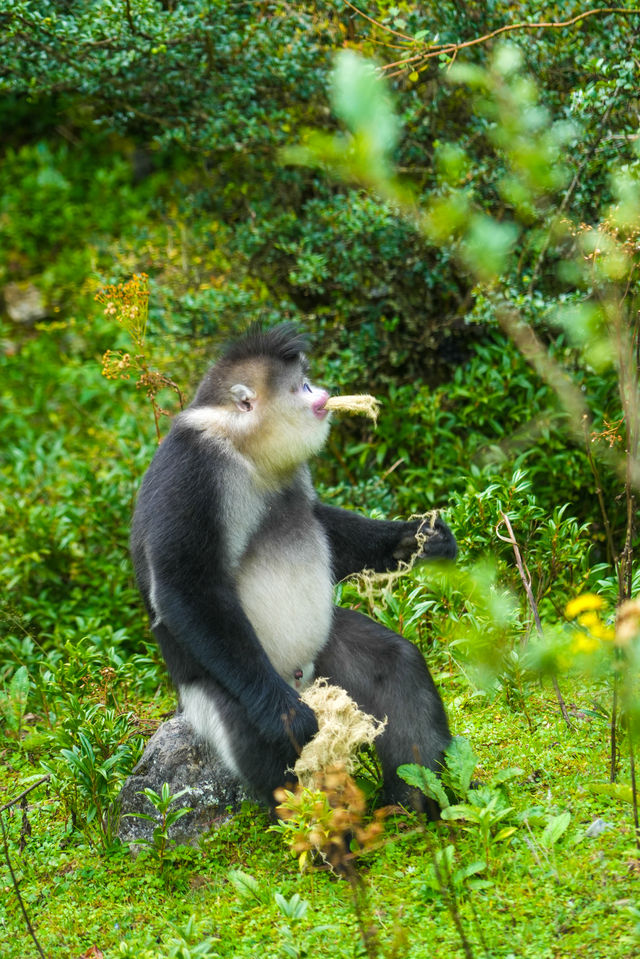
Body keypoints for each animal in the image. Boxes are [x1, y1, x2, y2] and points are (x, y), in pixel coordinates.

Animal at [129, 324, 456, 808]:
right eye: (301, 386)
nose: (321, 393)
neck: (247, 451)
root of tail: (302, 679)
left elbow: (323, 525)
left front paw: (415, 539)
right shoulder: (192, 469)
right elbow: (184, 584)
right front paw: (285, 716)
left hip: (326, 651)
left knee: (398, 665)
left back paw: (415, 803)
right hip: (222, 688)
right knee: (257, 734)